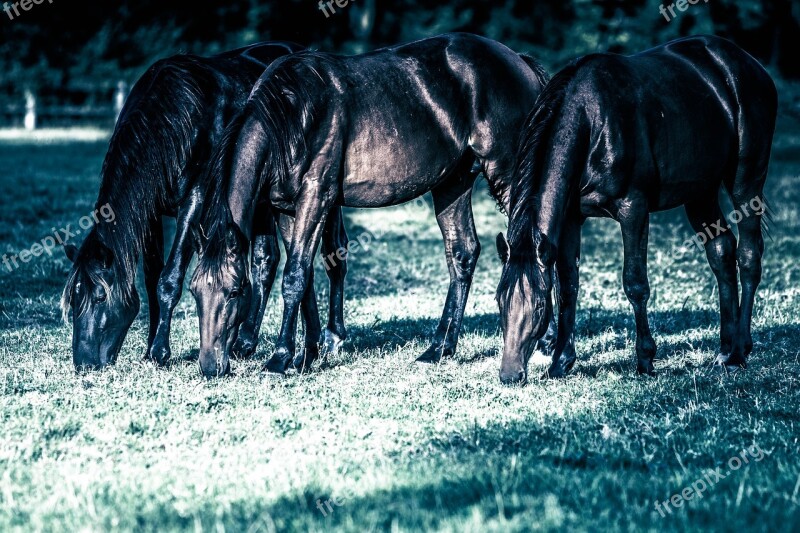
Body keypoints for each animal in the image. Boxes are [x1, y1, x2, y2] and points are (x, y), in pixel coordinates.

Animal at [61, 40, 348, 370]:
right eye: (74, 301)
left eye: (99, 298)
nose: (84, 363)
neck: (173, 119)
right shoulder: (150, 213)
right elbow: (152, 277)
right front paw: (151, 346)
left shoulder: (195, 200)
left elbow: (169, 278)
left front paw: (159, 351)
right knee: (268, 260)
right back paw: (248, 342)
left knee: (333, 253)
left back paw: (332, 338)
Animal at [189, 33, 552, 376]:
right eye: (194, 291)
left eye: (235, 291)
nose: (210, 366)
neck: (292, 114)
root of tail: (519, 60)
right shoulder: (286, 209)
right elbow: (304, 278)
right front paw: (306, 354)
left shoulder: (316, 197)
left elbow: (294, 276)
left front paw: (279, 359)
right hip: (453, 183)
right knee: (463, 252)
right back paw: (439, 349)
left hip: (507, 174)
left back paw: (546, 344)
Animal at [494, 35, 776, 382]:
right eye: (499, 301)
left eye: (537, 307)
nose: (510, 374)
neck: (593, 122)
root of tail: (749, 65)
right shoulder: (572, 219)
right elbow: (568, 285)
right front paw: (561, 361)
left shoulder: (634, 210)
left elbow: (635, 283)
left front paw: (645, 359)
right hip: (701, 193)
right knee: (722, 253)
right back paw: (725, 347)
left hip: (745, 182)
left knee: (749, 255)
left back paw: (739, 350)